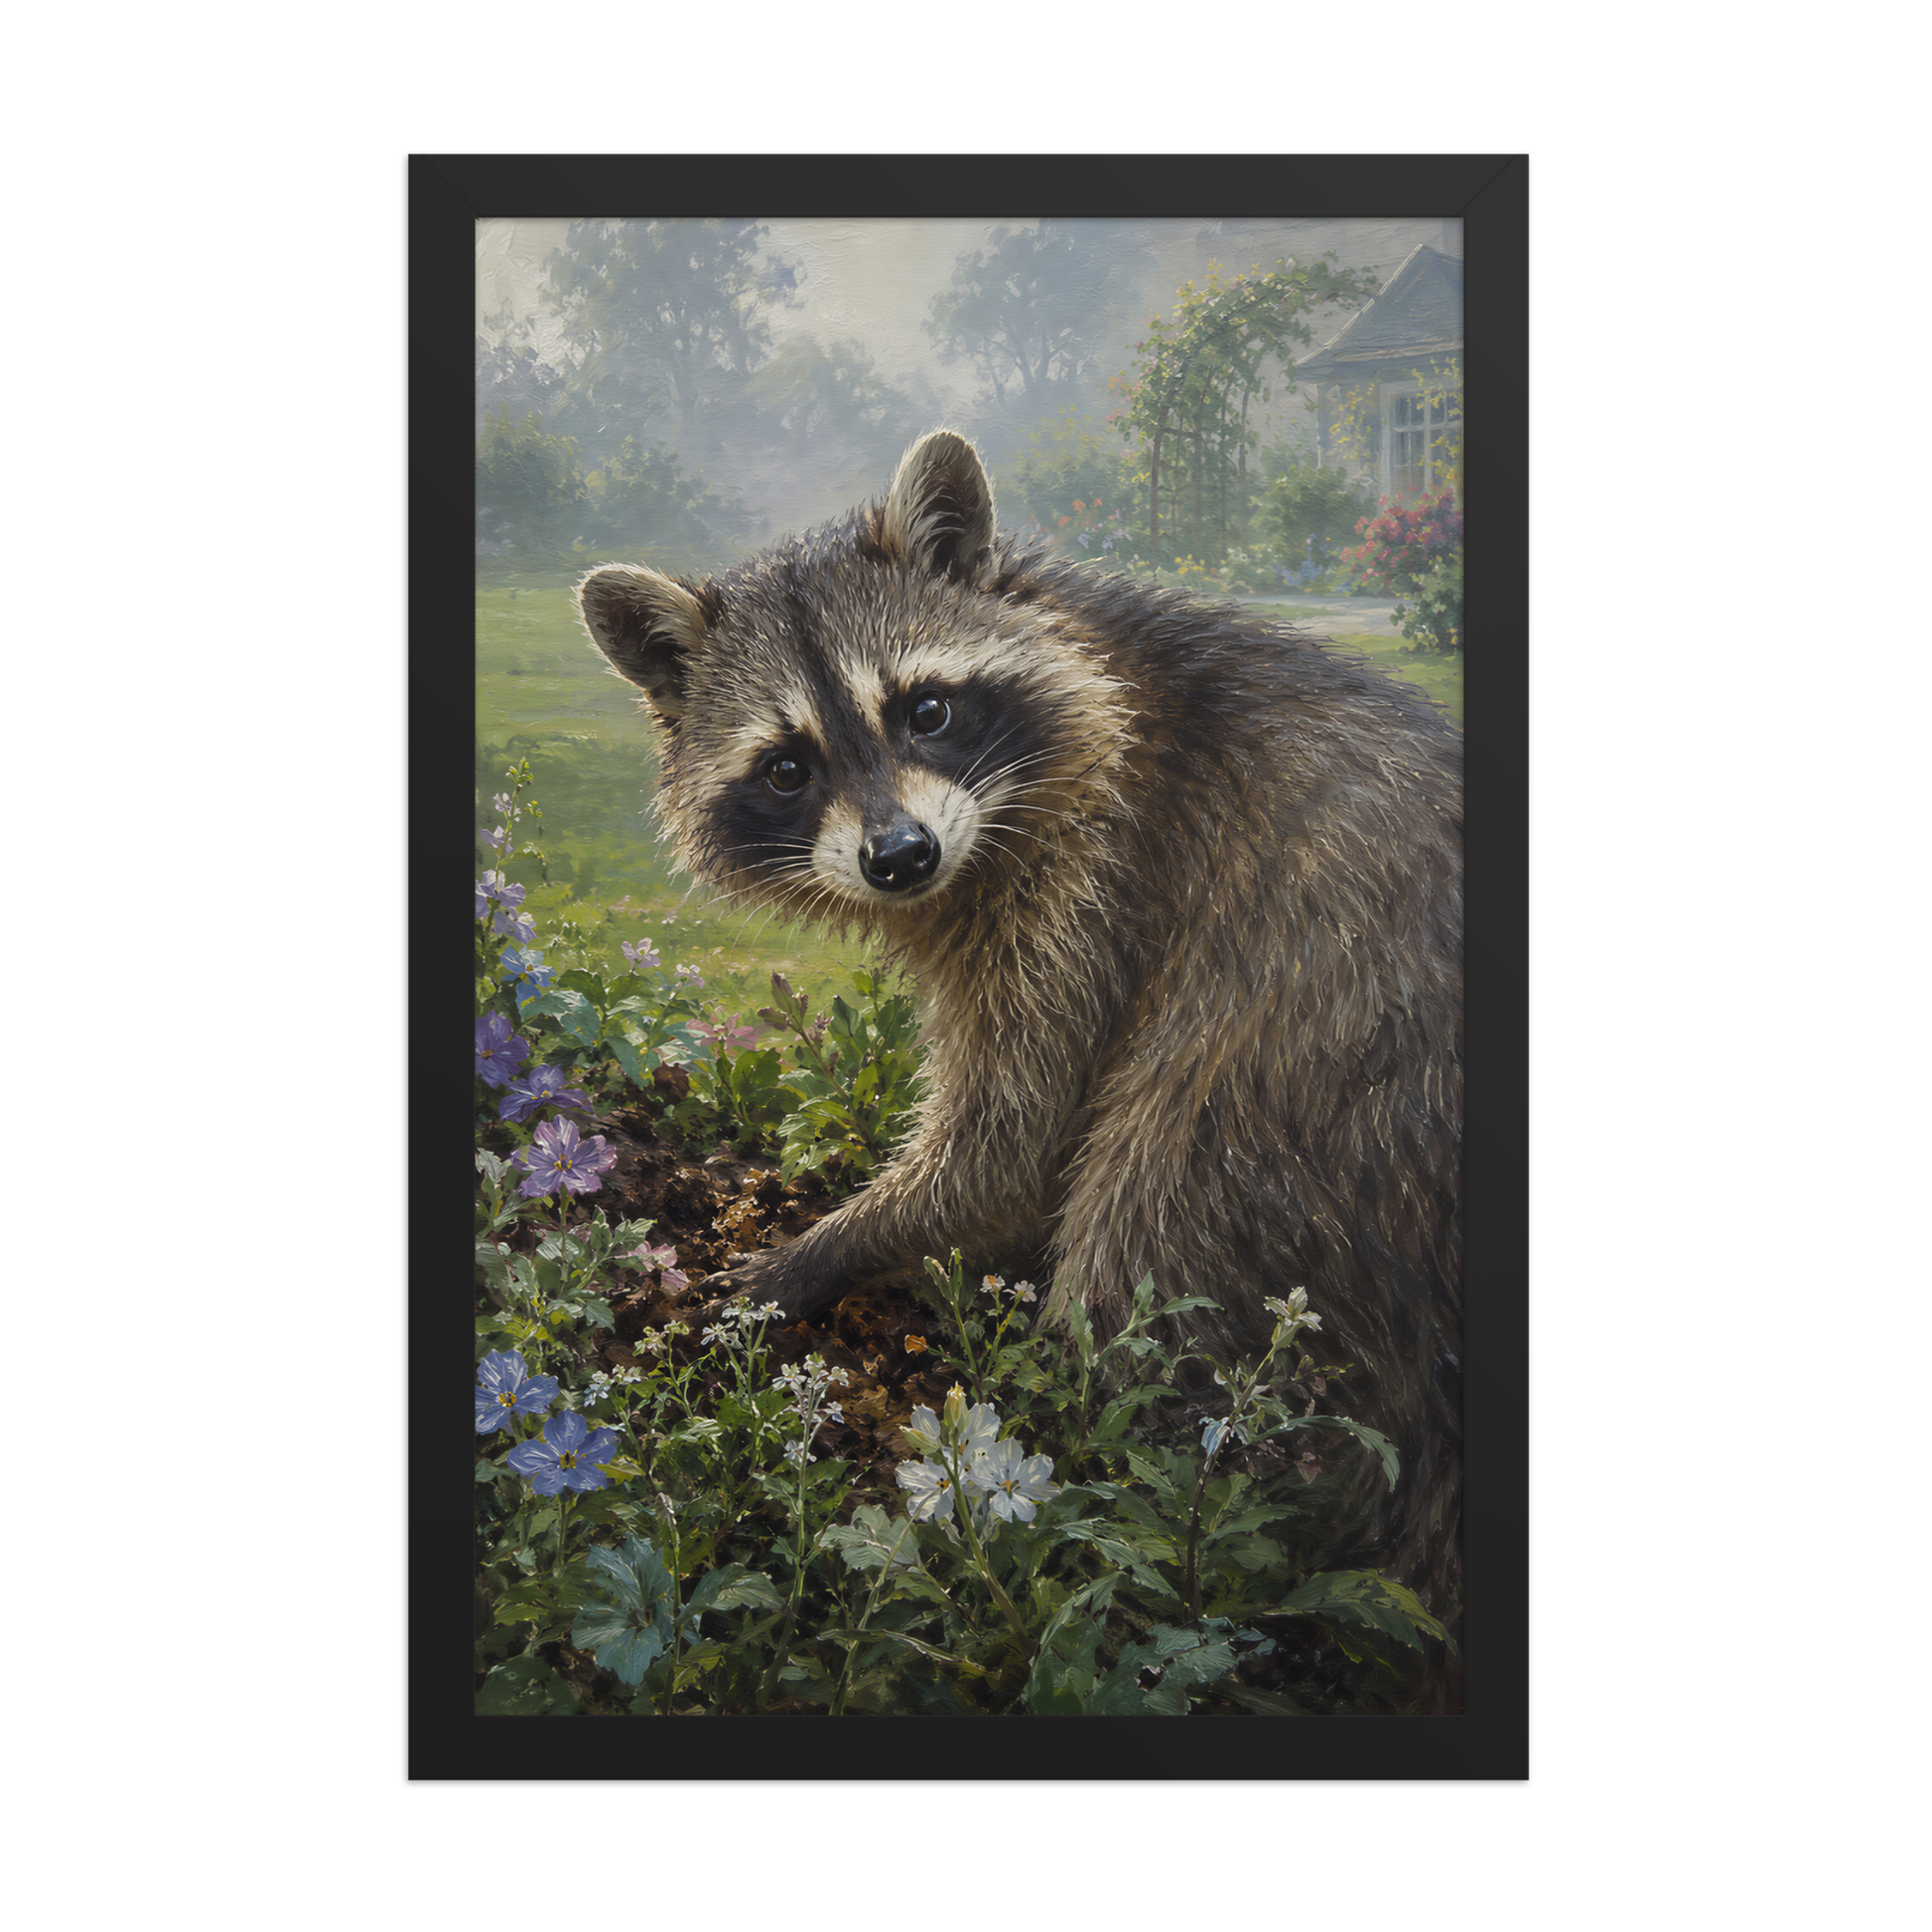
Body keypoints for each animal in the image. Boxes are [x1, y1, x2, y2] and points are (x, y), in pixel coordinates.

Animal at [577, 430, 1463, 1702]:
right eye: (787, 765)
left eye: (926, 707)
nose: (900, 856)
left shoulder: (1098, 878)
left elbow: (1009, 1146)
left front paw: (817, 1250)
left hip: (1303, 1112)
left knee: (1149, 1240)